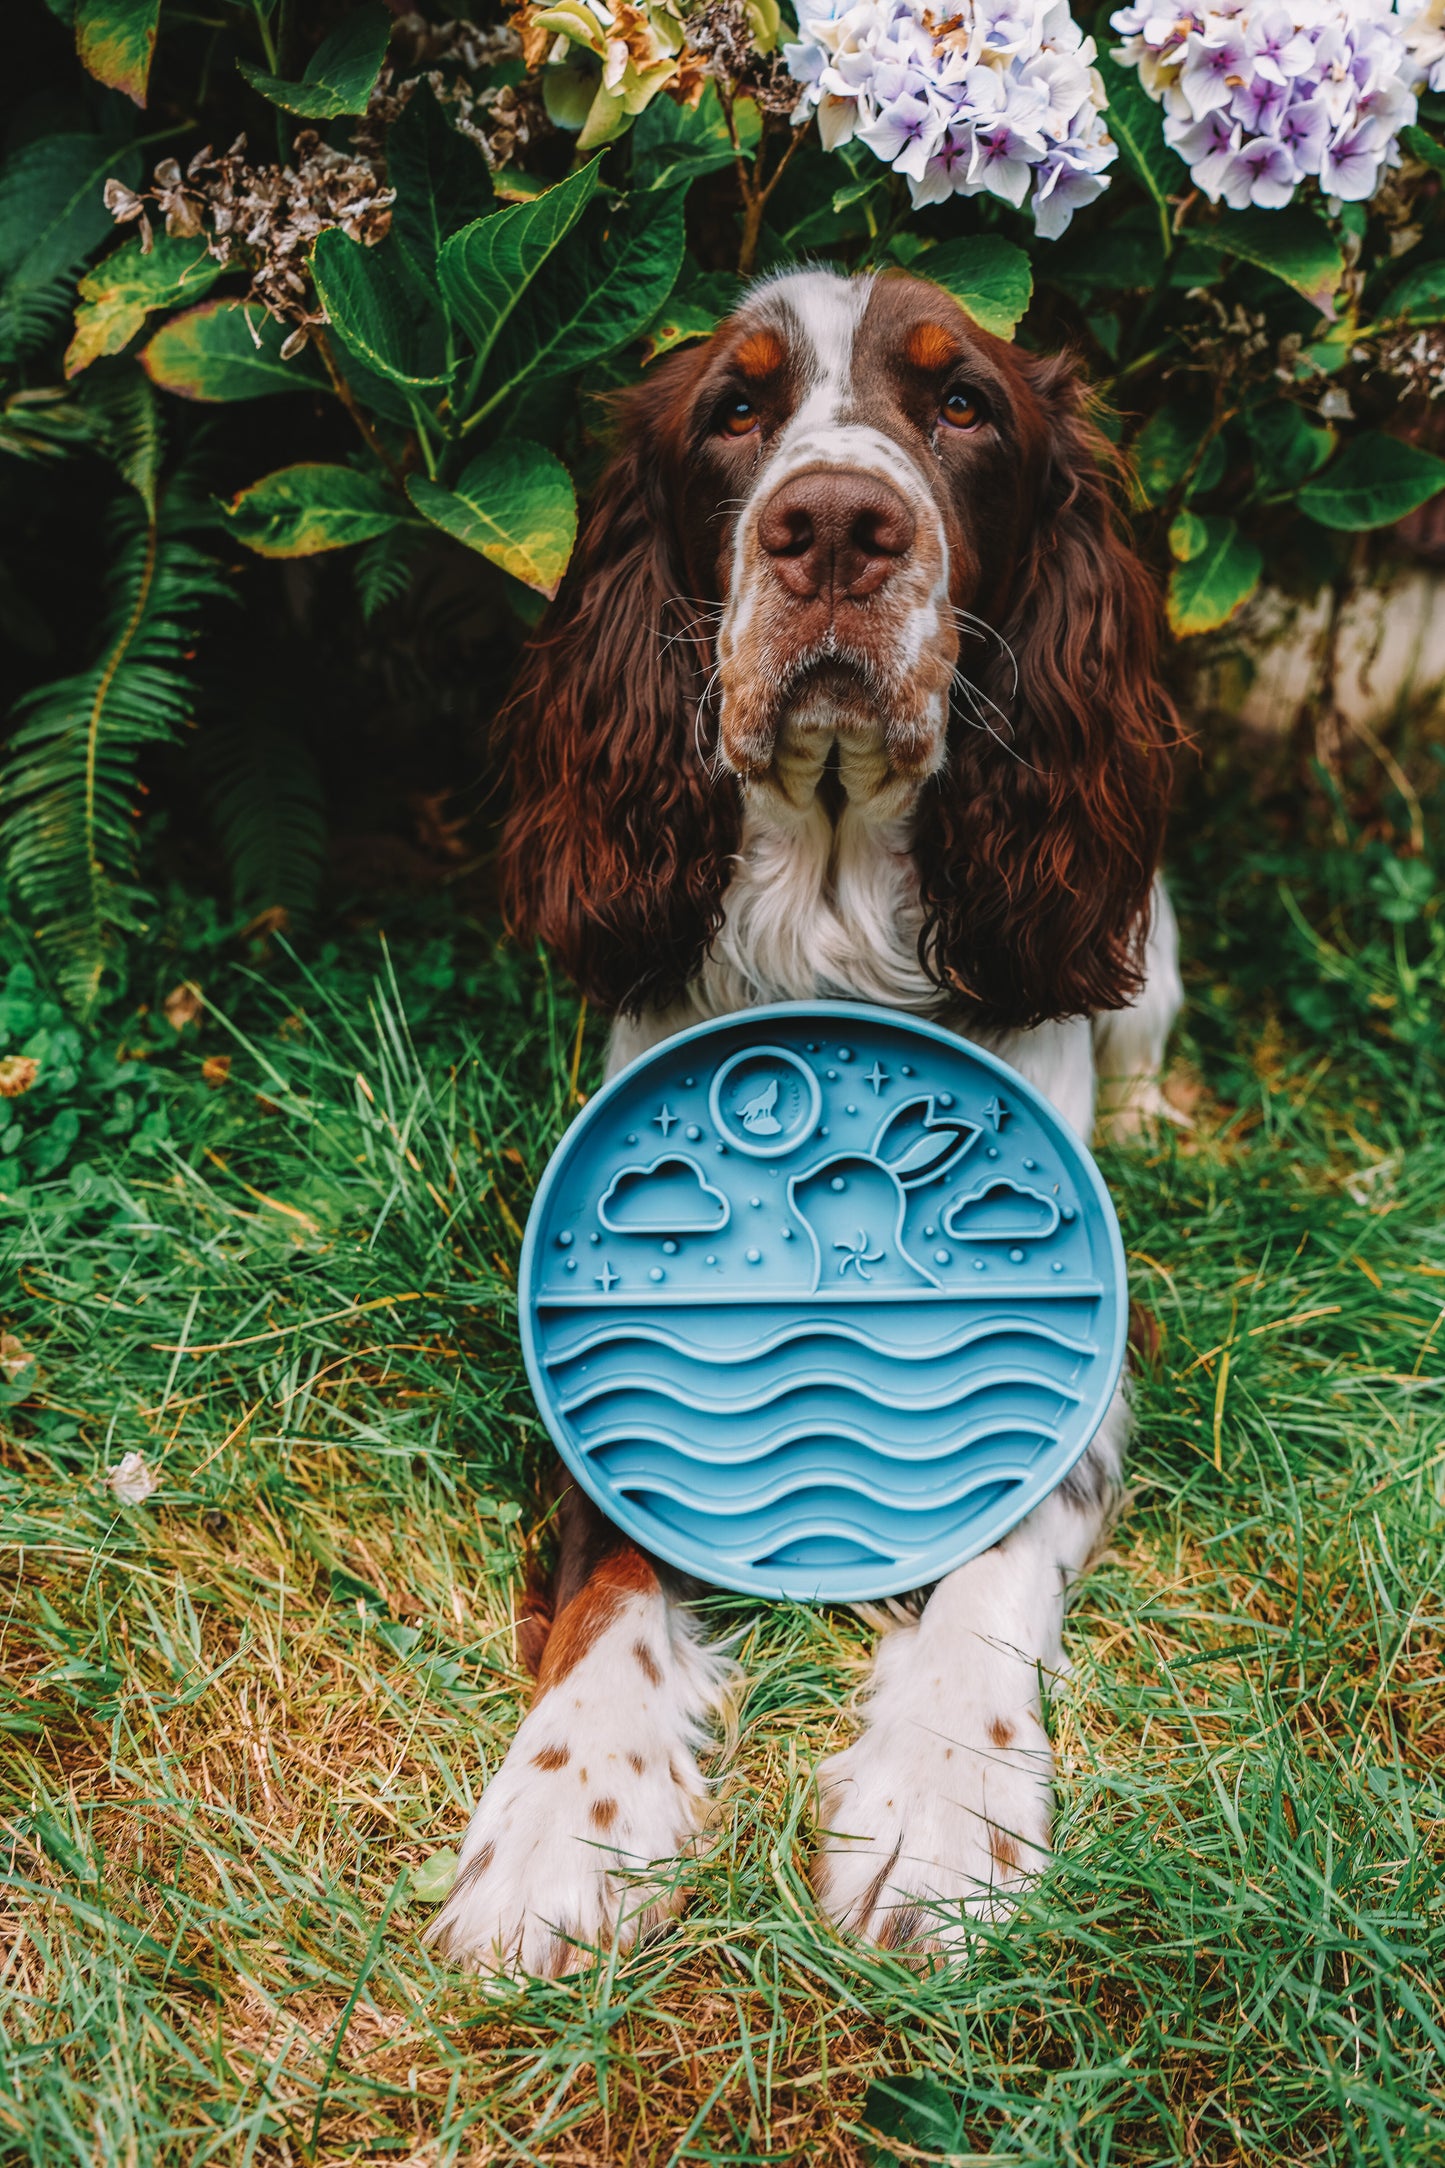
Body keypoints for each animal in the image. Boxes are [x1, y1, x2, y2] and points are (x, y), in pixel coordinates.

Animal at [428, 262, 1187, 1977]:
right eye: (734, 409)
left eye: (962, 404)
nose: (835, 523)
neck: (833, 909)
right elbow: (610, 1581)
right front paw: (564, 1817)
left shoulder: (1085, 1349)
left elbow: (992, 1555)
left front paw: (939, 1807)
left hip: (1148, 955)